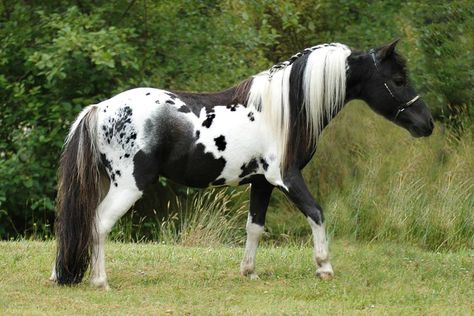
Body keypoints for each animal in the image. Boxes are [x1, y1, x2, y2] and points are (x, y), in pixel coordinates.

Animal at [51, 38, 434, 288]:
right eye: (398, 80)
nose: (427, 124)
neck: (283, 110)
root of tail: (100, 108)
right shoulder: (287, 178)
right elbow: (317, 213)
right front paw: (324, 267)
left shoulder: (262, 183)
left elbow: (255, 227)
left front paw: (249, 272)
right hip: (129, 185)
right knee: (99, 223)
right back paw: (100, 281)